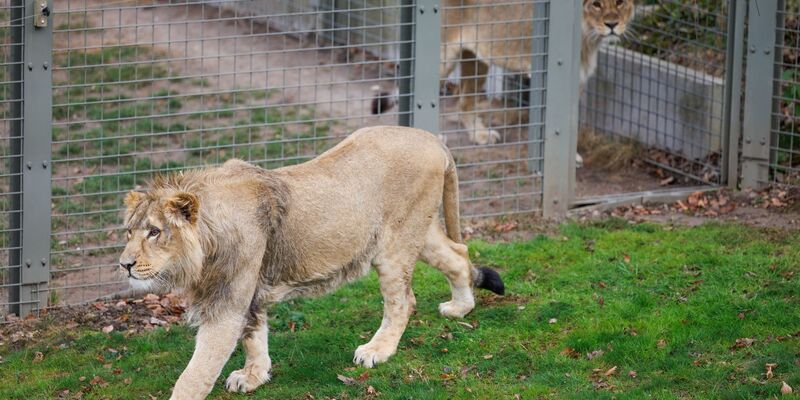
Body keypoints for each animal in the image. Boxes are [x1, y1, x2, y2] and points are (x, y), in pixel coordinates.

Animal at [118, 126, 505, 399]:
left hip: (396, 243)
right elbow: (254, 336)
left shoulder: (226, 303)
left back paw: (378, 350)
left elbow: (194, 375)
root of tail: (431, 138)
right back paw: (461, 307)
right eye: (128, 232)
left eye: (154, 232)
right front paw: (254, 376)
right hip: (415, 232)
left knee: (404, 300)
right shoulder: (250, 293)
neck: (205, 246)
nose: (124, 265)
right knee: (458, 254)